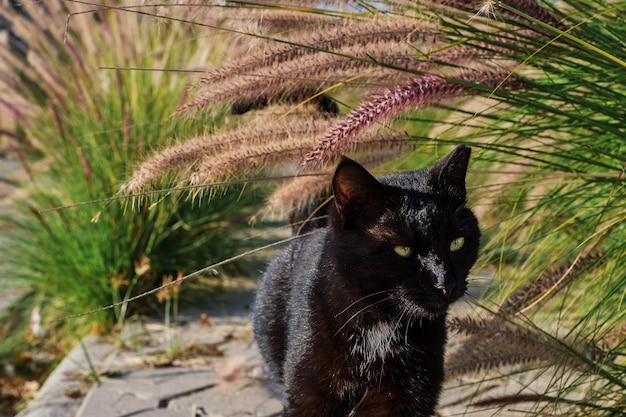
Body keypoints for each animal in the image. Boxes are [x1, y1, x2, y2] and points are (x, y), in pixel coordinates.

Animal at [252, 145, 478, 414]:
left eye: (456, 243)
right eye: (403, 249)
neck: (380, 325)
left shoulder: (408, 396)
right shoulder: (308, 397)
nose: (446, 283)